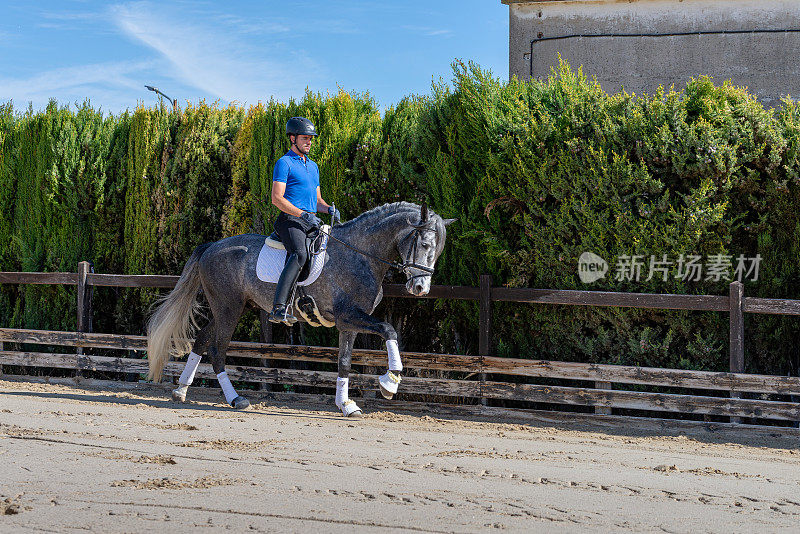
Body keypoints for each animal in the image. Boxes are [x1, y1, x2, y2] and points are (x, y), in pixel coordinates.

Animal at [146, 203, 454, 416]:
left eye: (438, 251)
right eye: (424, 243)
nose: (421, 288)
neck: (361, 255)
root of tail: (212, 246)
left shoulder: (349, 322)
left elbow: (344, 361)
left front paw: (346, 405)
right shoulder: (349, 316)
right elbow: (389, 330)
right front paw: (390, 382)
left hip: (231, 308)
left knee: (201, 340)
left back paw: (180, 391)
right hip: (228, 309)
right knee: (217, 349)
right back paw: (235, 399)